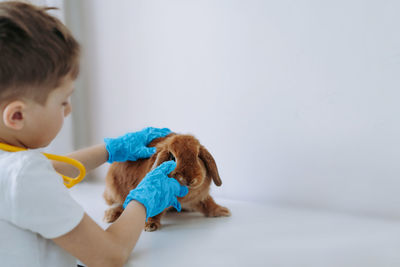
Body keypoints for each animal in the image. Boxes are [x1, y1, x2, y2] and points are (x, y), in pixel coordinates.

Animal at [103, 134, 231, 232]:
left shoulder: (199, 198)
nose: (189, 179)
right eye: (173, 158)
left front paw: (223, 211)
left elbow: (209, 204)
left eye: (198, 156)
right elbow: (153, 213)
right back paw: (110, 215)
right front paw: (150, 226)